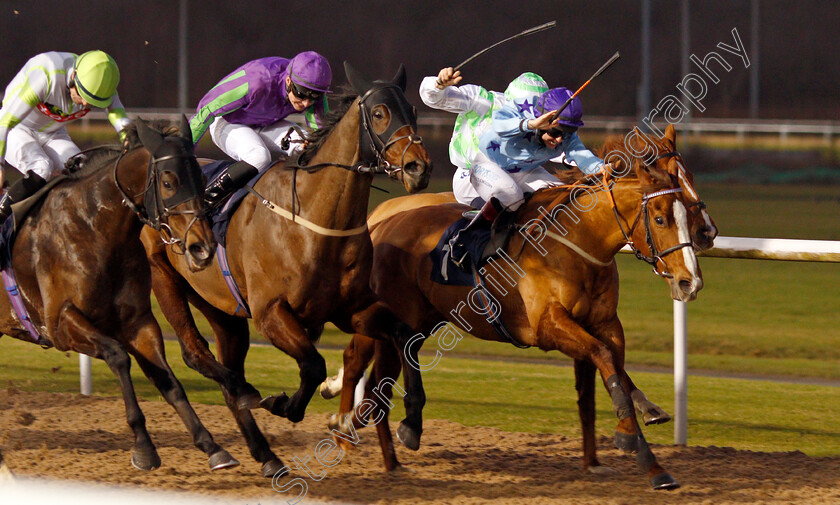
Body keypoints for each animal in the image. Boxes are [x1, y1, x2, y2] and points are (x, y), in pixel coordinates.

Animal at [0, 120, 240, 470]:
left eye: (201, 177)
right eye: (168, 181)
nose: (202, 247)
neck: (93, 227)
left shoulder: (138, 322)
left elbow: (170, 383)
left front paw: (212, 446)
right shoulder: (60, 323)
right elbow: (118, 356)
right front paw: (144, 447)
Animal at [140, 64, 434, 476]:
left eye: (413, 110)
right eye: (379, 113)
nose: (418, 167)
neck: (313, 219)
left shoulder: (353, 310)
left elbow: (406, 336)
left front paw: (412, 422)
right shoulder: (271, 313)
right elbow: (312, 365)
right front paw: (283, 404)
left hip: (222, 310)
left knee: (228, 374)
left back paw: (265, 454)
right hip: (165, 279)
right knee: (196, 354)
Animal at [324, 125, 704, 488]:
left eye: (686, 204)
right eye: (660, 219)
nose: (690, 281)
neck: (578, 242)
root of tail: (382, 221)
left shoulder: (606, 322)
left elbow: (611, 369)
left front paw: (649, 460)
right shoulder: (547, 326)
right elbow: (604, 358)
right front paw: (629, 435)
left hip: (421, 320)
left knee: (379, 380)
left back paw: (382, 452)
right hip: (398, 317)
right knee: (369, 371)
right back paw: (362, 430)